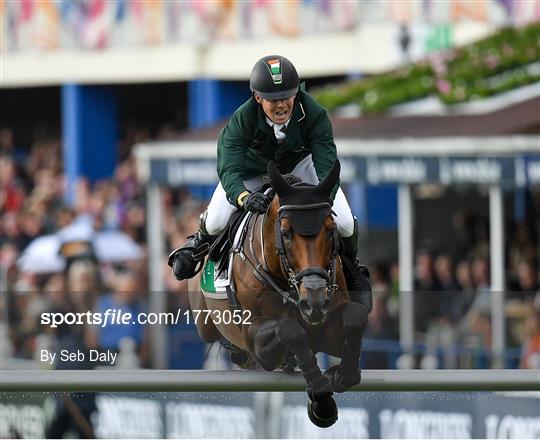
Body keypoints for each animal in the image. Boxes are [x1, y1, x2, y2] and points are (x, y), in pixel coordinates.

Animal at [186, 161, 368, 426]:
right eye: (286, 232)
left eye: (331, 229)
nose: (314, 303)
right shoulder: (257, 343)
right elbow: (289, 329)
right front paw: (322, 402)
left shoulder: (328, 331)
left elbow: (355, 316)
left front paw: (343, 374)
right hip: (205, 324)